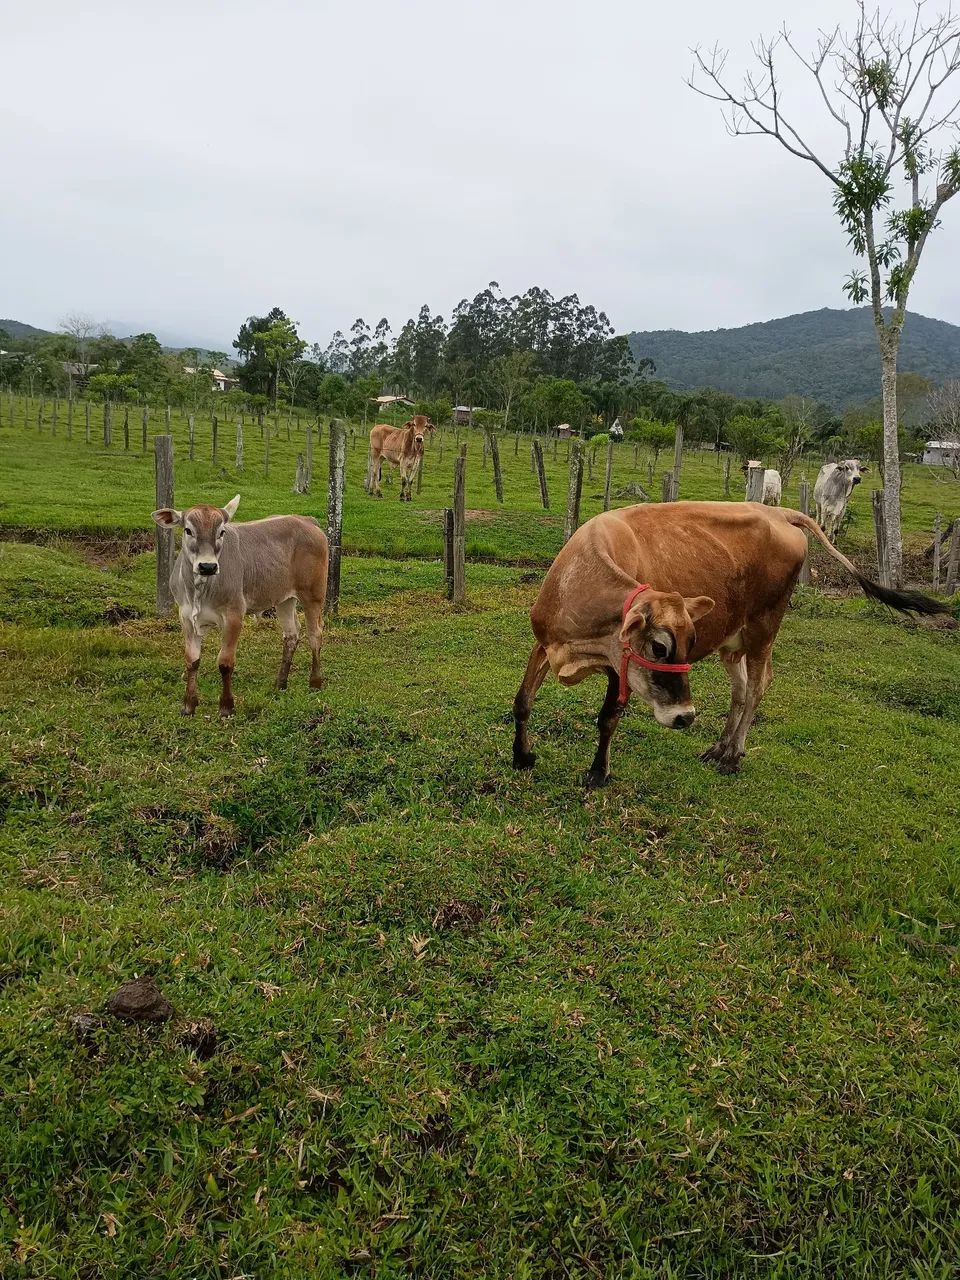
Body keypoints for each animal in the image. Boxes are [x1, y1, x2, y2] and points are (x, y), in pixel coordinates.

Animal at [151, 495, 329, 717]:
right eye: (188, 530)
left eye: (221, 532)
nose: (207, 566)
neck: (199, 590)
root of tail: (306, 520)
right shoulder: (186, 617)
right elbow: (192, 660)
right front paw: (188, 705)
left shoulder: (234, 615)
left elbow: (225, 663)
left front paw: (226, 706)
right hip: (284, 599)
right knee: (292, 634)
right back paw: (280, 683)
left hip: (314, 594)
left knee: (315, 634)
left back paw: (315, 682)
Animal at [512, 501, 946, 788]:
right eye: (659, 647)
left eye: (688, 642)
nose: (685, 717)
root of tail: (778, 512)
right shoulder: (543, 644)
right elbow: (523, 702)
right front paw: (522, 755)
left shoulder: (620, 671)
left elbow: (608, 719)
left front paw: (598, 773)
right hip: (731, 641)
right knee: (740, 688)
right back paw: (719, 747)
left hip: (764, 628)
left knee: (758, 685)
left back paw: (733, 756)